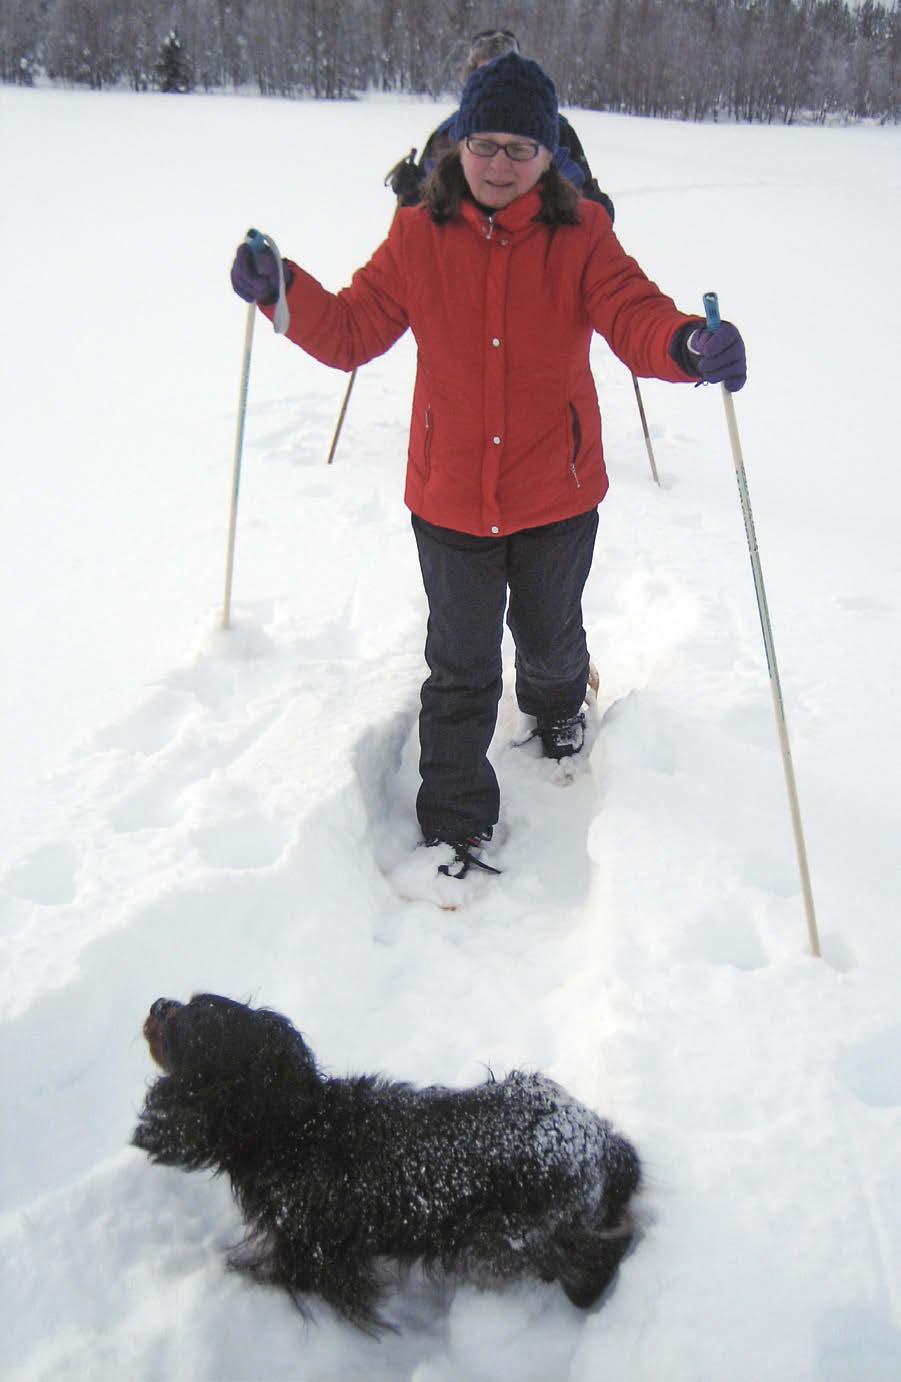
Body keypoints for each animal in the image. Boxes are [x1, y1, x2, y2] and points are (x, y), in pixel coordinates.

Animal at [134, 995, 641, 1326]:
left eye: (187, 1023)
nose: (158, 1003)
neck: (294, 1127)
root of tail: (603, 1141)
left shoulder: (307, 1252)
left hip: (514, 1234)